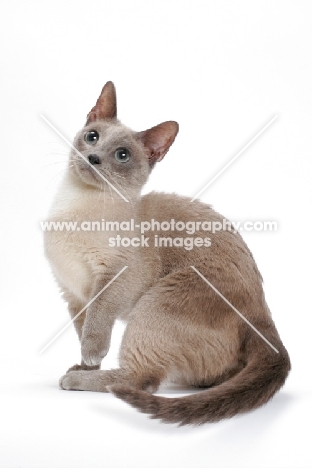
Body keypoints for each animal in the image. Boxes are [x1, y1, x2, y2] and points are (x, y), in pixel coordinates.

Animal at [45, 80, 292, 424]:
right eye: (92, 136)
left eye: (122, 155)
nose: (93, 157)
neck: (74, 207)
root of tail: (263, 314)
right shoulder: (73, 293)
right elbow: (84, 328)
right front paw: (84, 362)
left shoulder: (117, 277)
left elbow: (97, 322)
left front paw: (88, 359)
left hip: (157, 299)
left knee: (142, 380)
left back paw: (75, 380)